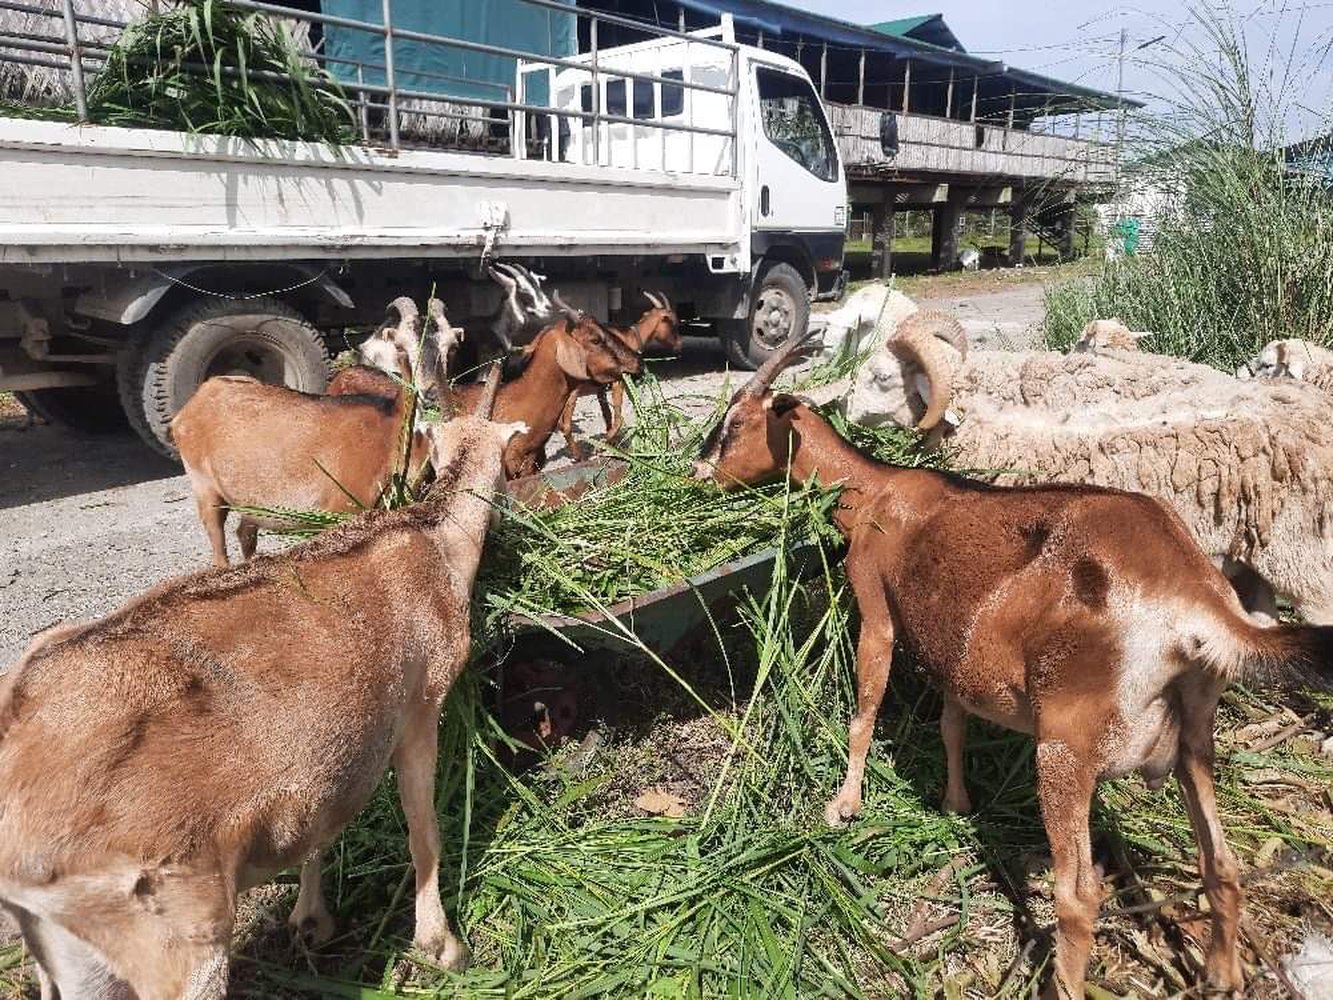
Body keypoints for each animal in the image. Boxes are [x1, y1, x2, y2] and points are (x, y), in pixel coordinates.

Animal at [0, 370, 527, 1000]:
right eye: (509, 464)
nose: (511, 517)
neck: (431, 539)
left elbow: (323, 825)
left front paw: (311, 921)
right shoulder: (419, 710)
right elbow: (425, 830)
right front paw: (444, 947)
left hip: (70, 953)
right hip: (173, 932)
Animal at [554, 289, 677, 458]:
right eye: (673, 322)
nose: (679, 345)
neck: (631, 337)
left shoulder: (601, 387)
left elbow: (607, 415)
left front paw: (611, 442)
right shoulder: (619, 381)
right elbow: (618, 417)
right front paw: (605, 443)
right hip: (574, 389)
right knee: (565, 424)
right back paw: (578, 454)